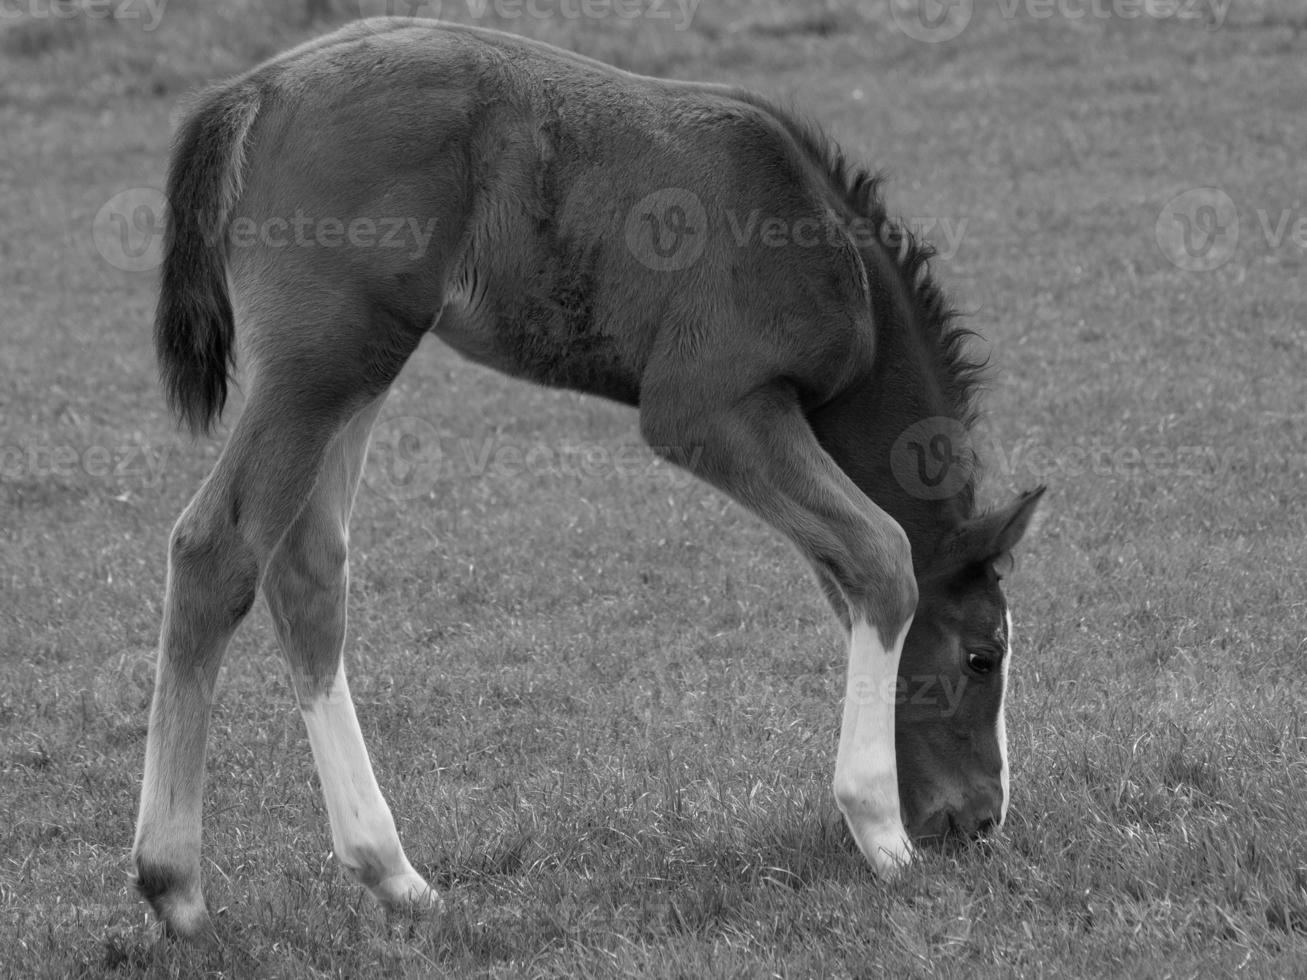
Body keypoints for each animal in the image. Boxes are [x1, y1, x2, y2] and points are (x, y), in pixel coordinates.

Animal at [132, 15, 1045, 935]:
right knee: (216, 549)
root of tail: (256, 89)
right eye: (983, 656)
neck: (821, 241)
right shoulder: (708, 409)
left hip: (355, 367)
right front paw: (880, 834)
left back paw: (393, 873)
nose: (980, 819)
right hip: (322, 365)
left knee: (308, 571)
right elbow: (881, 557)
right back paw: (176, 887)